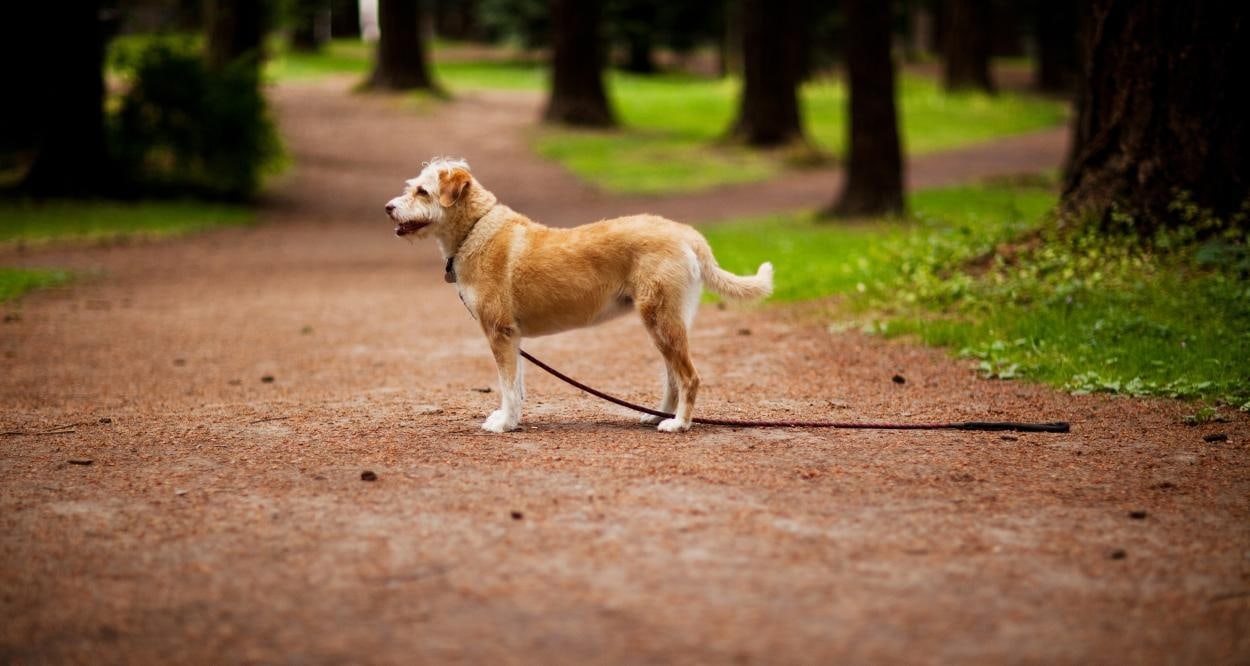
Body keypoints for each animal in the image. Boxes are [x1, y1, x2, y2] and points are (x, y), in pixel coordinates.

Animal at [385, 158, 770, 434]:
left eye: (422, 191)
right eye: (412, 188)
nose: (389, 207)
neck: (476, 230)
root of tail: (686, 233)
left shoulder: (499, 332)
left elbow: (507, 384)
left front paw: (504, 424)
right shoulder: (513, 337)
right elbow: (517, 386)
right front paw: (512, 419)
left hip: (661, 320)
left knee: (689, 377)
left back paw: (679, 424)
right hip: (666, 322)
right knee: (673, 377)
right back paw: (659, 416)